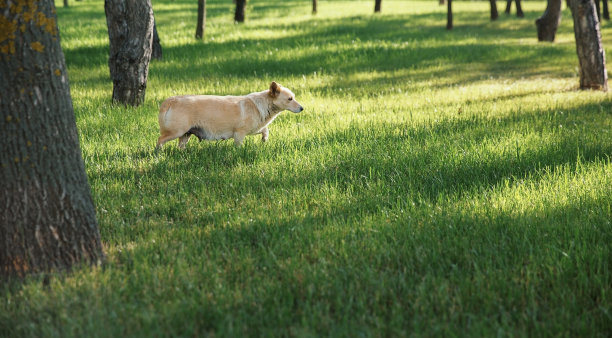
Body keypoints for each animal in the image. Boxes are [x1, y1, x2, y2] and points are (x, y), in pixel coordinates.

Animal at [155, 81, 304, 148]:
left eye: (293, 97)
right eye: (290, 99)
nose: (302, 108)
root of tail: (170, 100)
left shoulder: (255, 128)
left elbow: (265, 130)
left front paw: (264, 140)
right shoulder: (240, 133)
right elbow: (239, 145)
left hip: (186, 134)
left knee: (180, 146)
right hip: (177, 131)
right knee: (160, 140)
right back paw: (158, 155)